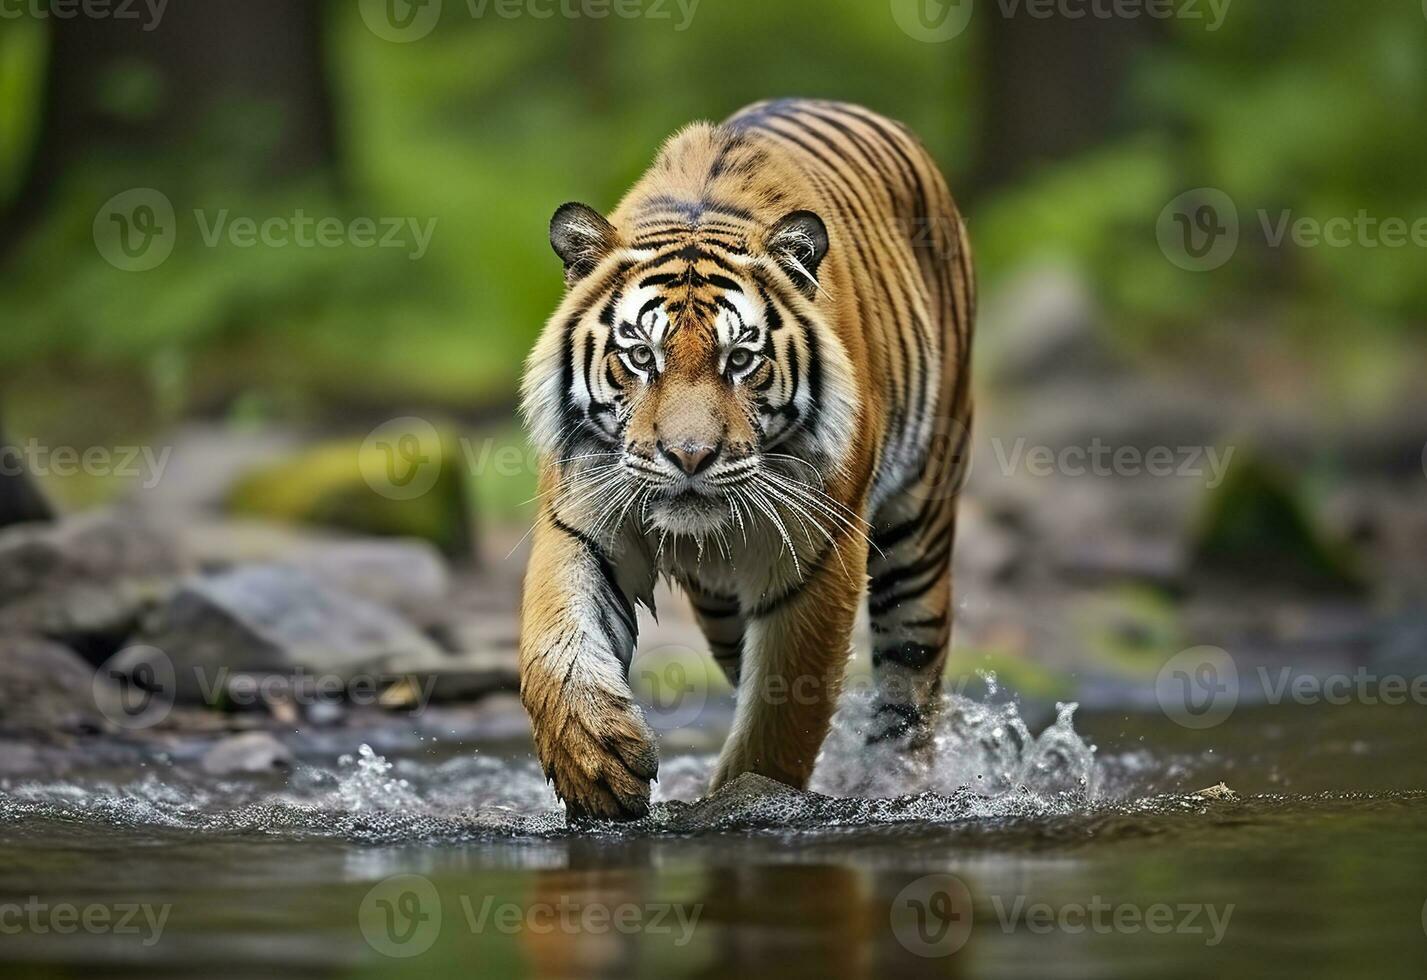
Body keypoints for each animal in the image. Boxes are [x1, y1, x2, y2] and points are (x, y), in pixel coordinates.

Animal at [519, 99, 976, 821]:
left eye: (740, 359)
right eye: (640, 356)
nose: (689, 456)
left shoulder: (819, 551)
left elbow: (781, 714)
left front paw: (744, 800)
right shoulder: (579, 516)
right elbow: (554, 642)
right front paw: (593, 760)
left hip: (920, 528)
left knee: (909, 688)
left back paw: (893, 786)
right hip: (719, 605)